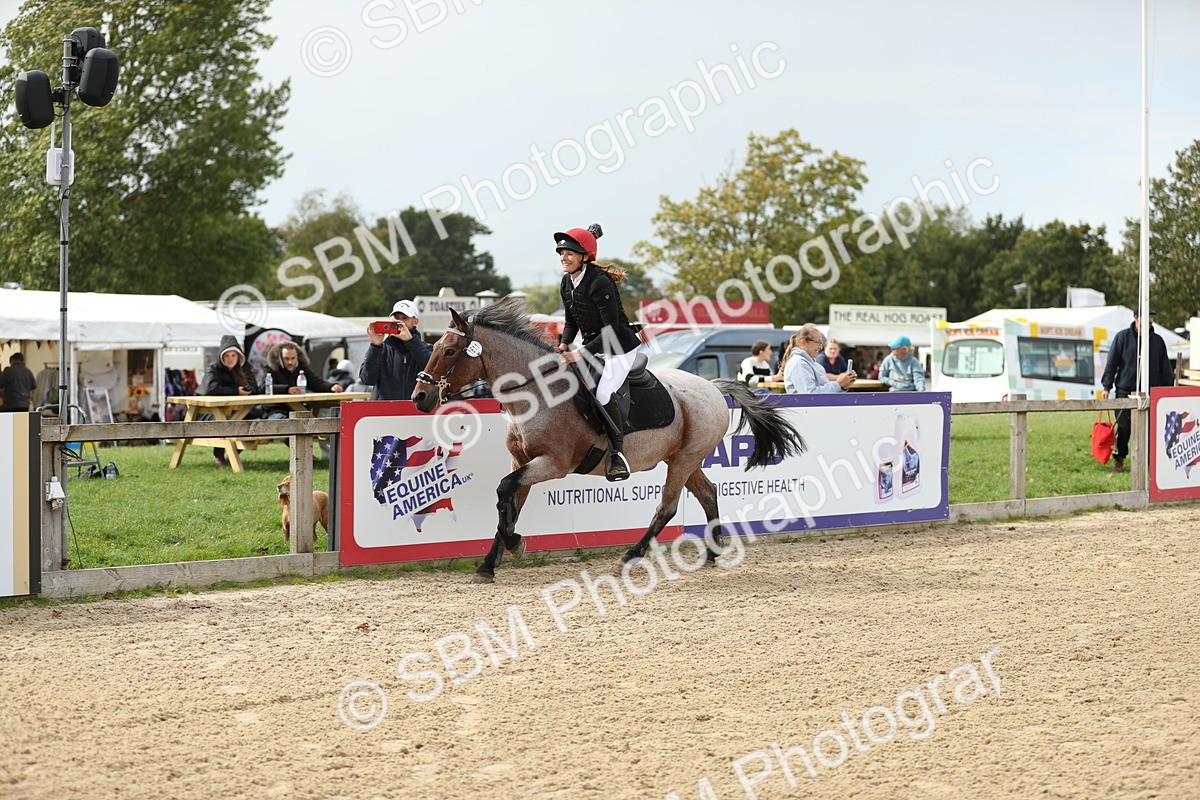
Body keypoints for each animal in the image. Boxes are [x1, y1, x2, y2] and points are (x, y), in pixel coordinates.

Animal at [411, 298, 806, 583]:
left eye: (449, 351)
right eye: (436, 346)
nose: (419, 397)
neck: (536, 394)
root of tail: (711, 386)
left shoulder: (552, 465)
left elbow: (504, 491)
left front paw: (514, 544)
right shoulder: (521, 461)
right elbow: (507, 502)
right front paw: (489, 564)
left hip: (684, 460)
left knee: (667, 508)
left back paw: (630, 557)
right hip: (684, 458)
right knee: (707, 493)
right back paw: (711, 554)